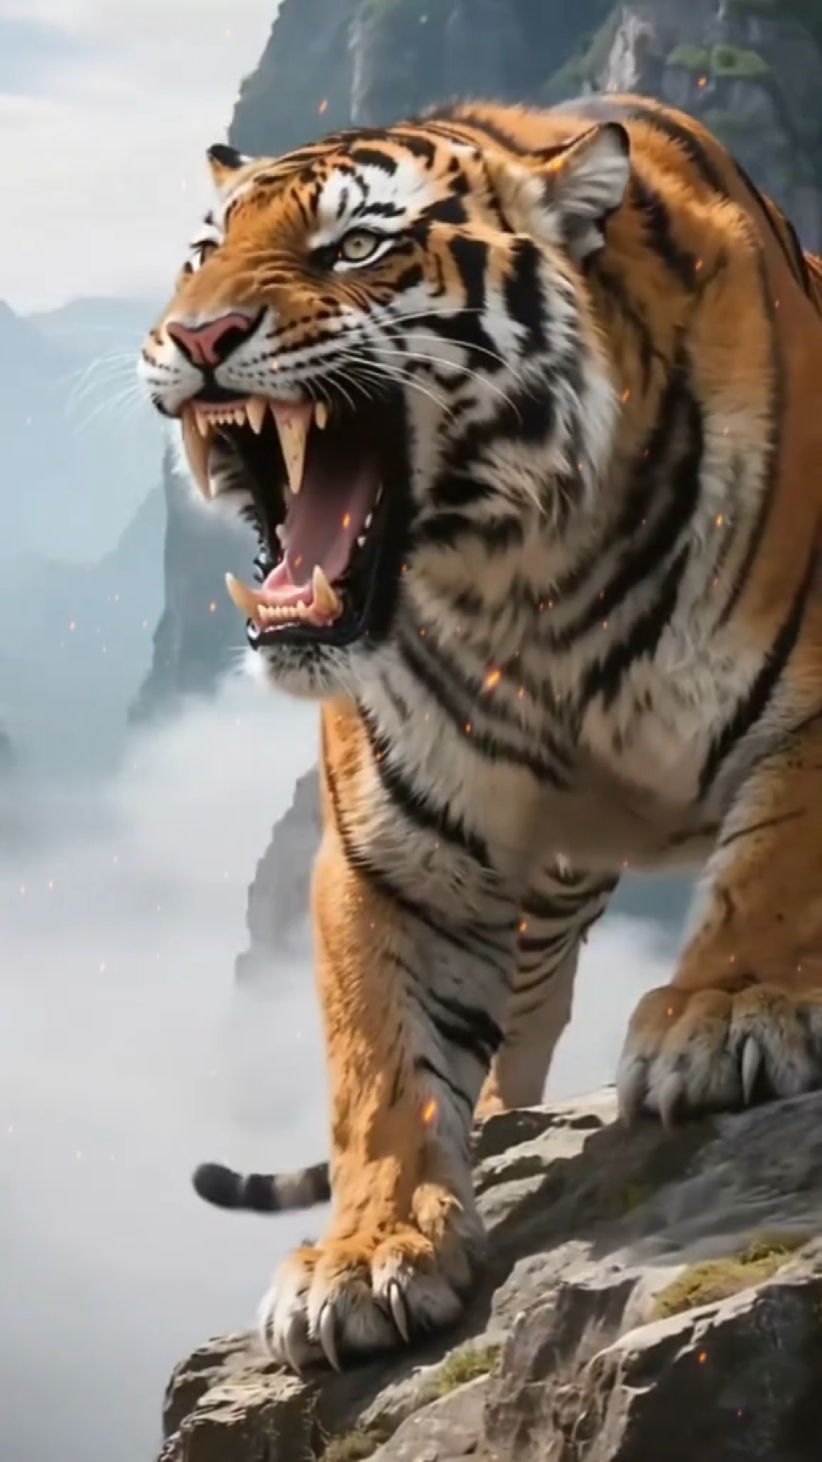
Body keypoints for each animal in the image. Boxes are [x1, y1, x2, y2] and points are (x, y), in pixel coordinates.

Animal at [139, 92, 822, 1375]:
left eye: (356, 248)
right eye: (202, 254)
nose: (196, 337)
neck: (524, 583)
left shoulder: (812, 717)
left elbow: (773, 876)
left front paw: (729, 1014)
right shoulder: (395, 850)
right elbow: (382, 1059)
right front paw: (368, 1253)